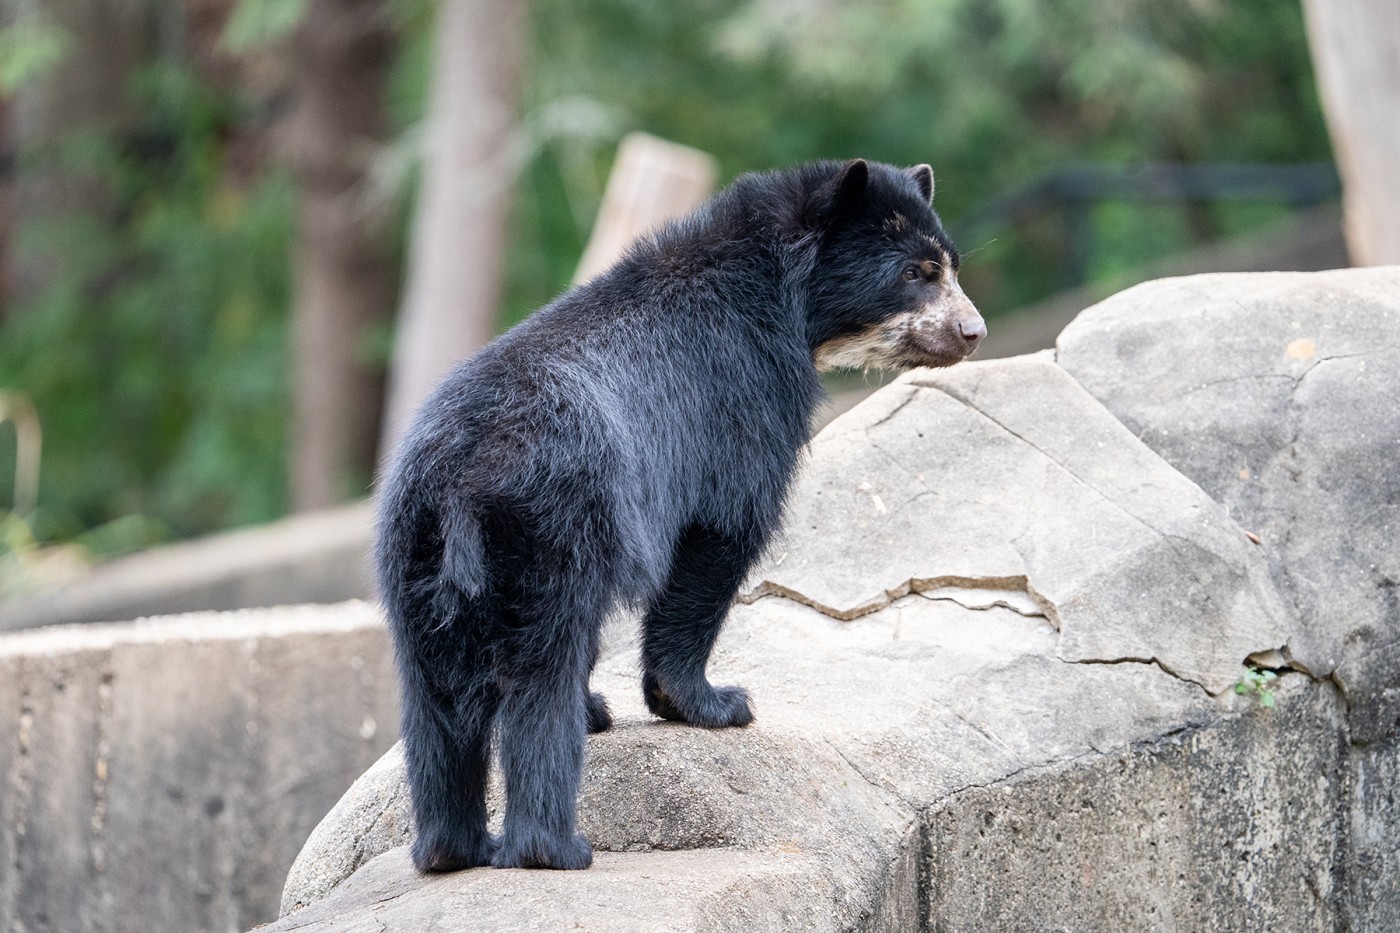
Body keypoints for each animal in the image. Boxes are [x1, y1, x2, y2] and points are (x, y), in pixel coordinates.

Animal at [372, 156, 985, 868]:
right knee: (539, 676)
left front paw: (607, 706)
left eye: (952, 266)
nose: (972, 332)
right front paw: (714, 702)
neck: (782, 297)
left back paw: (450, 849)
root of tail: (463, 480)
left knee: (434, 703)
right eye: (915, 274)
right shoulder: (741, 398)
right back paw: (554, 847)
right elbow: (721, 535)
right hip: (551, 532)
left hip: (413, 560)